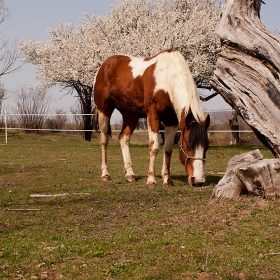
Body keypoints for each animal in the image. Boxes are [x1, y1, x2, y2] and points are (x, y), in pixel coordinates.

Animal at [94, 49, 210, 187]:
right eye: (188, 146)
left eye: (207, 146)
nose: (198, 181)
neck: (166, 78)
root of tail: (105, 65)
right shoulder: (153, 113)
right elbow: (154, 147)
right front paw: (151, 180)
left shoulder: (172, 120)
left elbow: (168, 148)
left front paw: (167, 180)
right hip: (104, 111)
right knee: (104, 139)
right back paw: (105, 174)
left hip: (131, 115)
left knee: (123, 138)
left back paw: (130, 175)